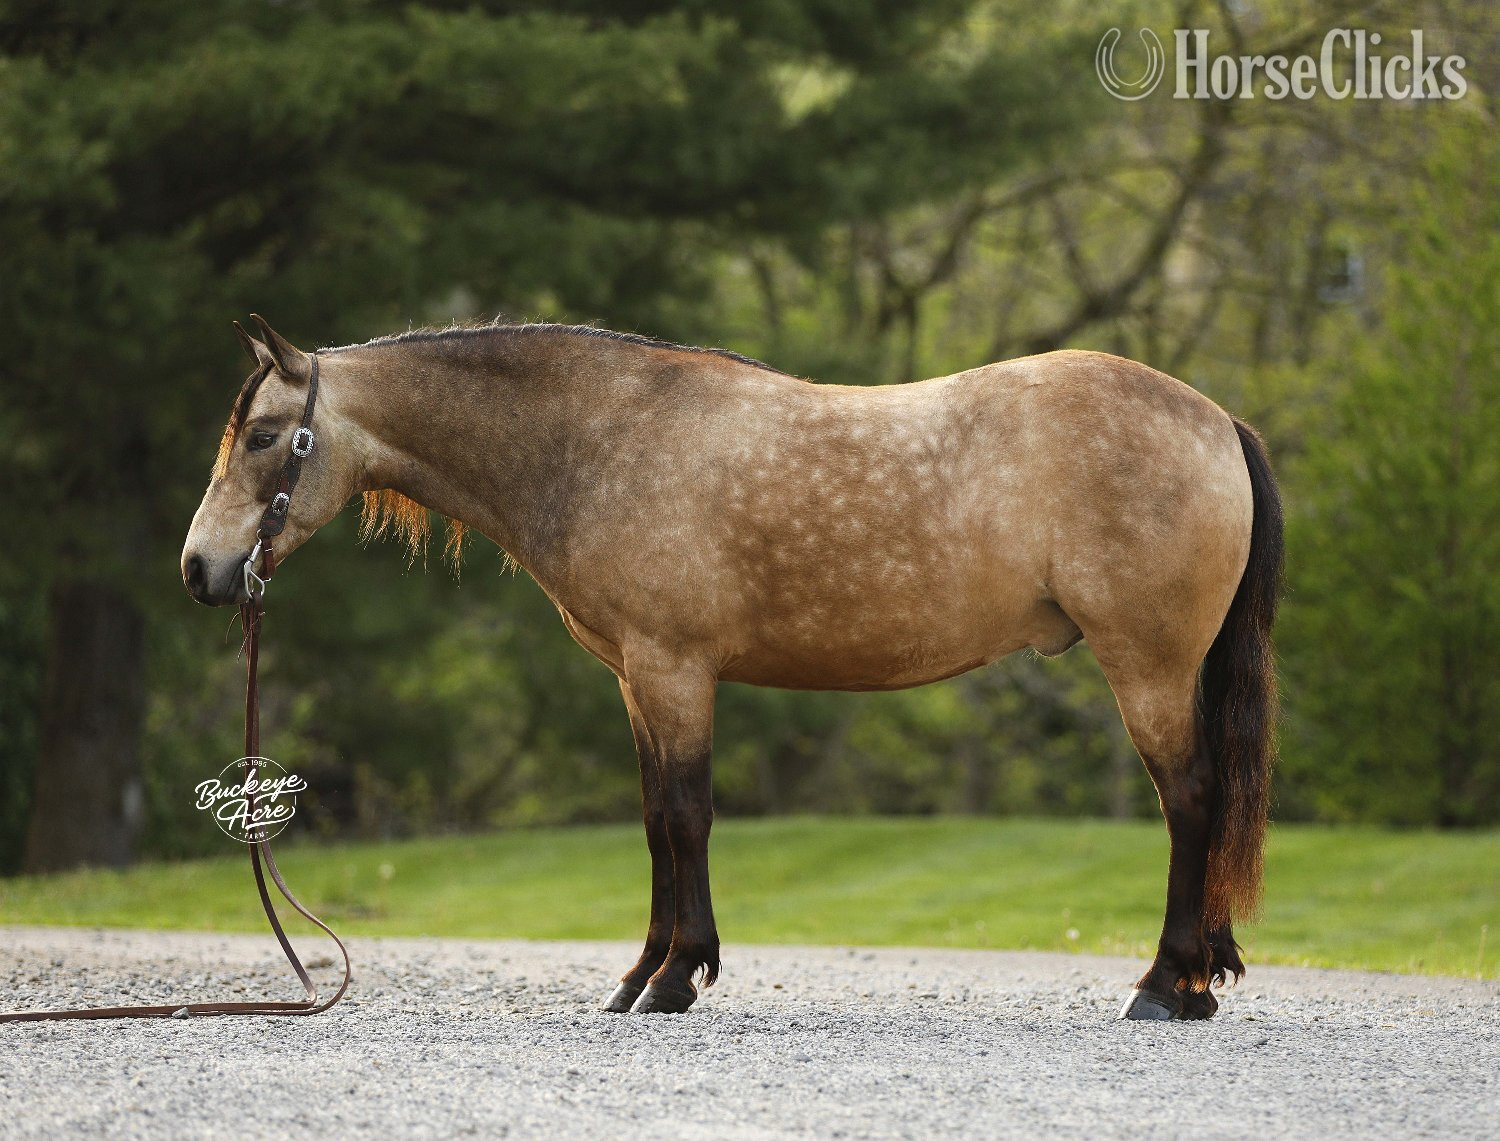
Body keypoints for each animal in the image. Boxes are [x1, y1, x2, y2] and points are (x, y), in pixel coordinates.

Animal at [182, 315, 1282, 1020]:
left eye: (268, 435)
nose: (200, 568)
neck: (603, 440)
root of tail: (1216, 419)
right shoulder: (636, 677)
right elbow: (655, 821)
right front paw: (641, 974)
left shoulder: (674, 670)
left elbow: (685, 816)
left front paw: (675, 977)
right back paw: (1199, 979)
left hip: (1146, 667)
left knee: (1193, 800)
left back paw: (1164, 986)